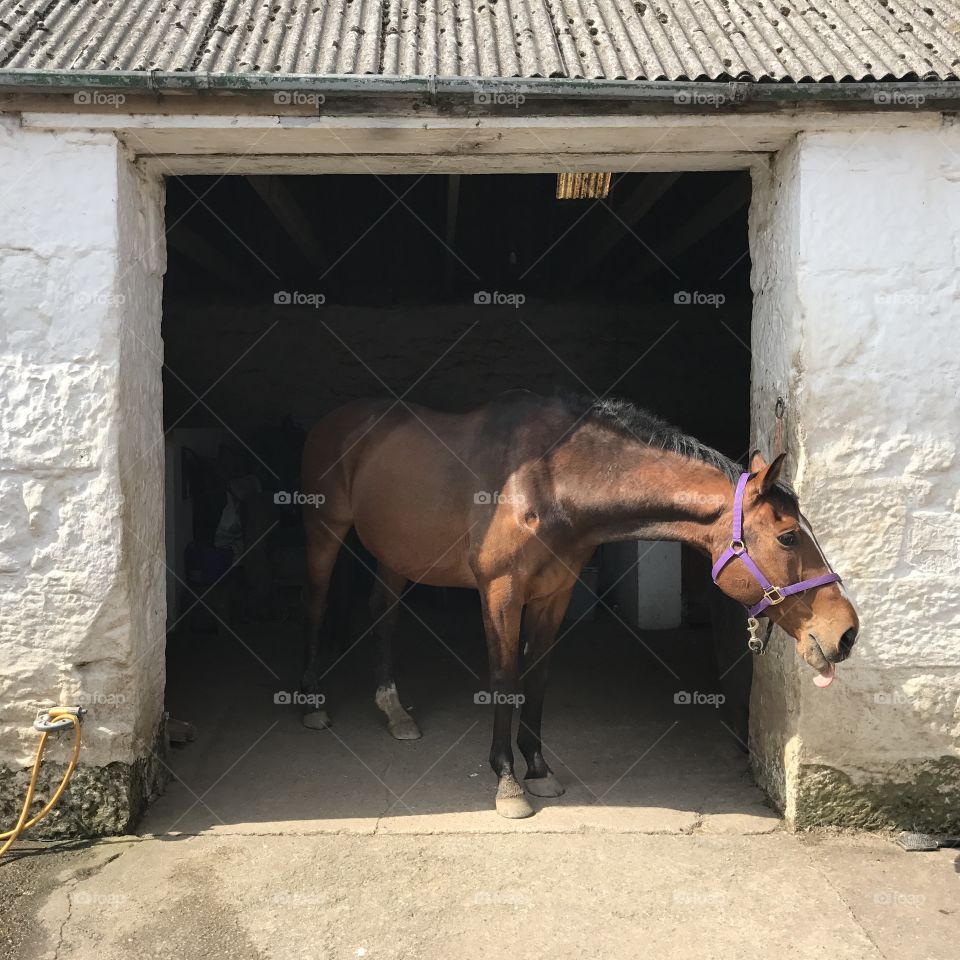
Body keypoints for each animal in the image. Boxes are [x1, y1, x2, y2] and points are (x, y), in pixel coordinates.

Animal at [296, 390, 860, 816]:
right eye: (788, 537)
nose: (846, 632)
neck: (546, 481)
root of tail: (335, 419)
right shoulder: (501, 591)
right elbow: (505, 678)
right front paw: (508, 783)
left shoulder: (555, 594)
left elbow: (538, 676)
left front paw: (538, 769)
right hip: (324, 532)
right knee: (317, 607)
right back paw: (313, 706)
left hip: (396, 553)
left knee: (383, 616)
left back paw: (394, 710)